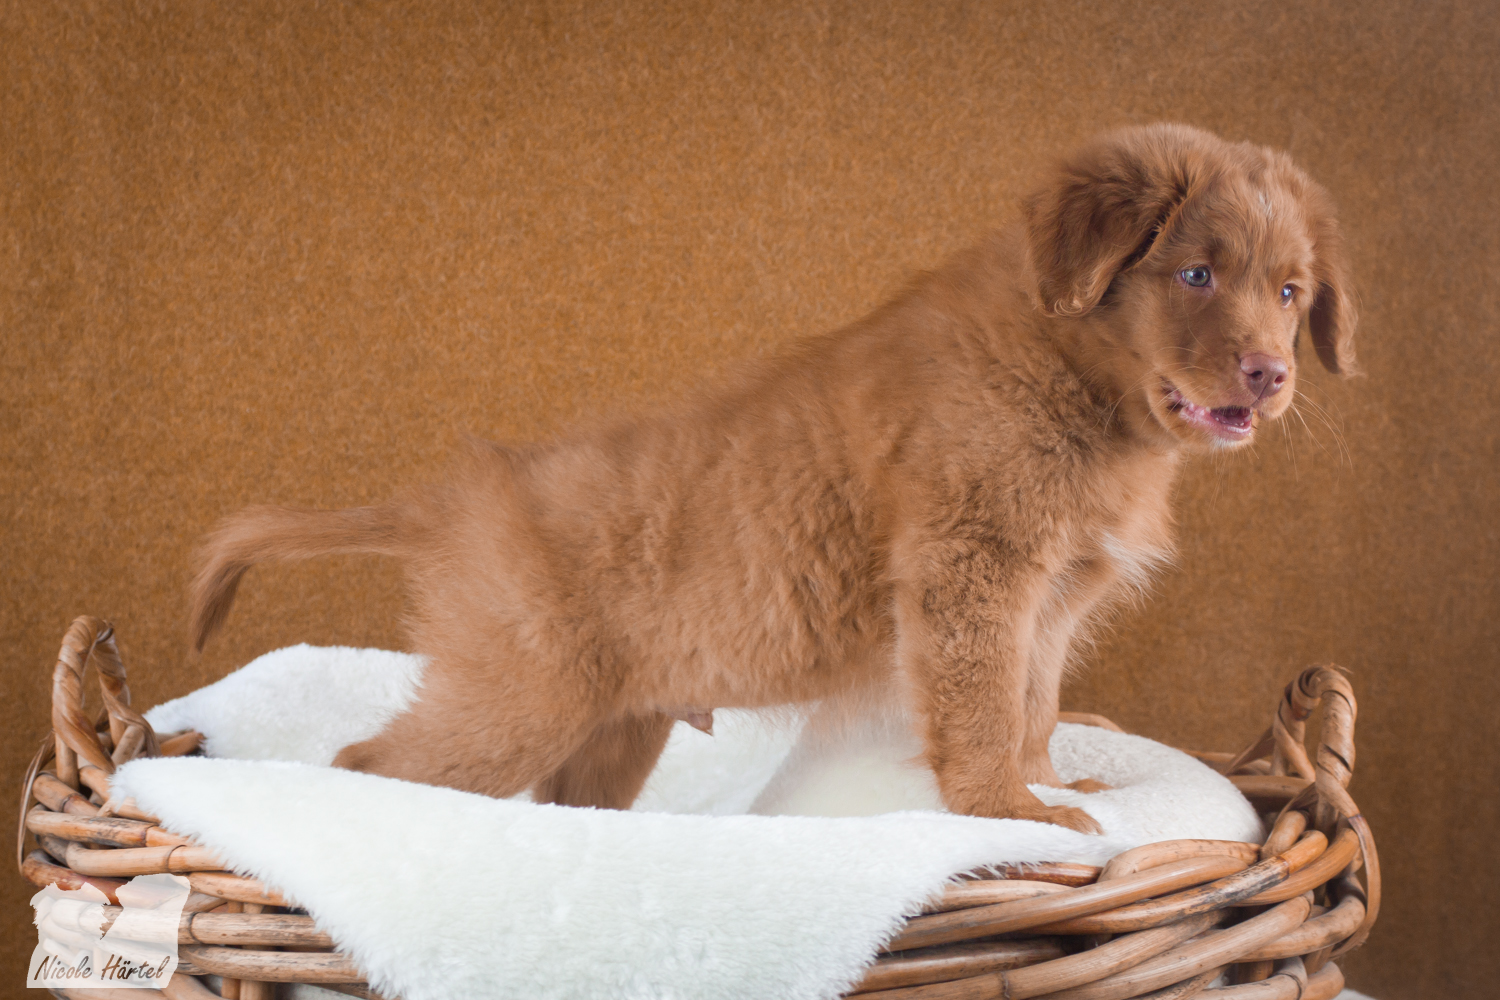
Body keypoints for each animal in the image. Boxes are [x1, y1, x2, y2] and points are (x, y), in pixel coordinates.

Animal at [190, 124, 1355, 833]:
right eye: (1195, 273)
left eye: (1289, 292)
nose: (1272, 375)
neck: (1077, 383)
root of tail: (455, 498)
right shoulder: (970, 571)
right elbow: (982, 704)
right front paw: (1010, 813)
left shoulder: (1052, 599)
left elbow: (1033, 700)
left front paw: (1048, 781)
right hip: (515, 698)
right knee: (366, 767)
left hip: (611, 729)